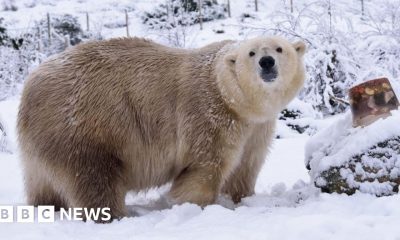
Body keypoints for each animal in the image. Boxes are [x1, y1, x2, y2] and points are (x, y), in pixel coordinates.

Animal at [17, 35, 306, 221]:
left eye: (279, 48)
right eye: (251, 52)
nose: (266, 62)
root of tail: (30, 87)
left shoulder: (257, 127)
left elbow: (246, 165)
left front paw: (243, 198)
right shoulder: (208, 114)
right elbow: (205, 166)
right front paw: (193, 205)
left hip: (44, 142)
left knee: (43, 184)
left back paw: (46, 207)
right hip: (85, 128)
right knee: (94, 177)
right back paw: (114, 215)